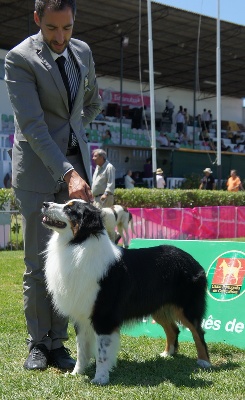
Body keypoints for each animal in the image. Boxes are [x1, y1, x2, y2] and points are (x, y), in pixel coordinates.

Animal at [42, 200, 211, 384]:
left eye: (70, 209)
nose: (44, 203)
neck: (78, 244)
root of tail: (190, 258)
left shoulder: (104, 316)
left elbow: (102, 352)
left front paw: (100, 378)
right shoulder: (81, 314)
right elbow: (82, 349)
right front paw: (76, 373)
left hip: (187, 307)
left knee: (198, 332)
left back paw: (204, 362)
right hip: (158, 307)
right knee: (173, 329)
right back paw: (167, 354)